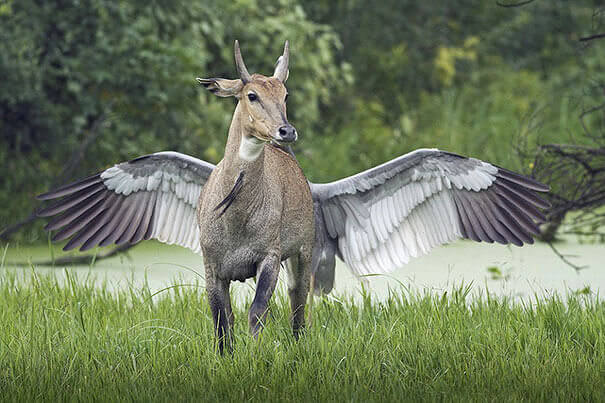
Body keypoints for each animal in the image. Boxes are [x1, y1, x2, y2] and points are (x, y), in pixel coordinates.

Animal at [36, 38, 548, 354]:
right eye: (250, 95)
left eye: (285, 93)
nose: (287, 130)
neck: (238, 209)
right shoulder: (212, 268)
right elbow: (222, 328)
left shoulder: (269, 260)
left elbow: (257, 316)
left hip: (304, 263)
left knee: (300, 316)